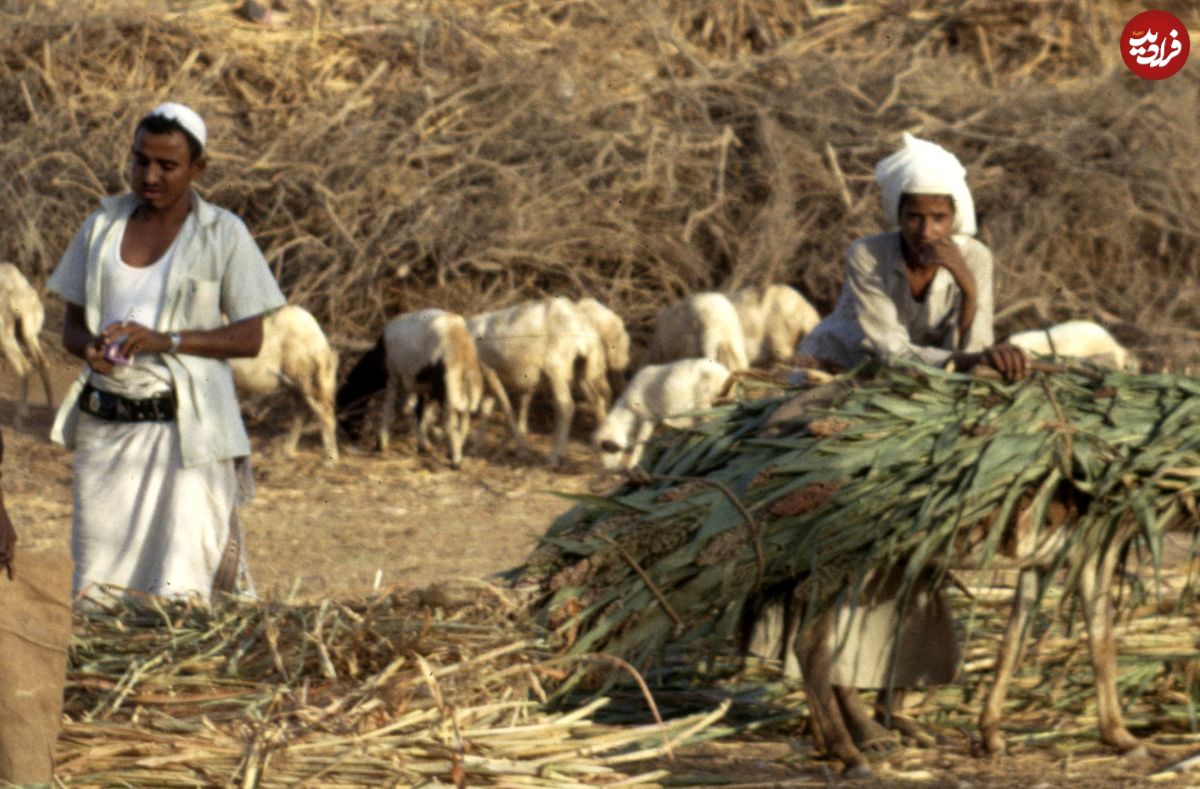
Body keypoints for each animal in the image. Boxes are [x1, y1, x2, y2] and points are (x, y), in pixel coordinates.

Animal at [0, 262, 54, 424]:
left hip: (6, 334)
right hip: (29, 333)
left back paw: (20, 416)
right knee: (42, 362)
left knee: (24, 366)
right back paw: (51, 410)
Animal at [230, 300, 340, 460]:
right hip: (295, 382)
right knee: (301, 411)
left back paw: (331, 459)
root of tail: (320, 340)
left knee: (323, 411)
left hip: (304, 377)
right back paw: (287, 452)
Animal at [465, 296, 604, 467]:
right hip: (582, 372)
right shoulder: (491, 377)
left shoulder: (488, 371)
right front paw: (476, 448)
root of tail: (583, 328)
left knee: (566, 407)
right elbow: (486, 408)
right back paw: (601, 448)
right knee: (597, 400)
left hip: (556, 369)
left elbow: (505, 406)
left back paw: (554, 458)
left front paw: (521, 450)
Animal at [592, 359, 729, 470]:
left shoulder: (648, 418)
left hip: (705, 401)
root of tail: (725, 374)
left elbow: (640, 441)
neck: (628, 411)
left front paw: (632, 465)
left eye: (607, 448)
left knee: (714, 419)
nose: (608, 469)